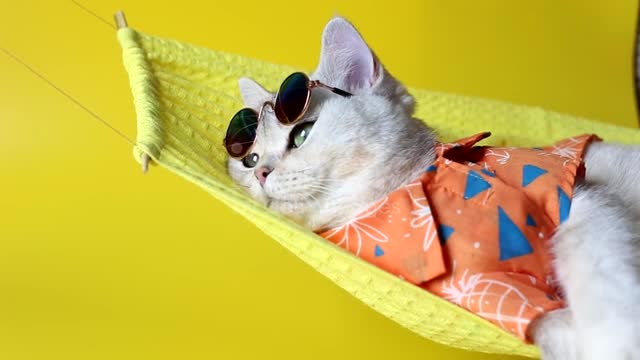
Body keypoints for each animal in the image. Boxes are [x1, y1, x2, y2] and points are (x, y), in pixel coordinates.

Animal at [229, 16, 640, 358]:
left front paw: (615, 339)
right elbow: (553, 328)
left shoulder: (580, 199)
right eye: (249, 159)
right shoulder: (494, 296)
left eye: (301, 134)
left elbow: (598, 272)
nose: (261, 172)